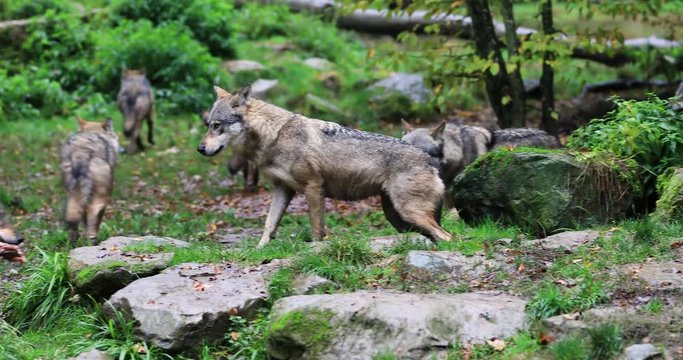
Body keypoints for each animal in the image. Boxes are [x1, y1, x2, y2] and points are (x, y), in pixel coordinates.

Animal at [198, 85, 454, 248]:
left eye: (217, 125)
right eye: (207, 124)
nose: (200, 148)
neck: (275, 135)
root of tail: (429, 159)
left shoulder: (313, 187)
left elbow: (316, 229)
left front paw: (315, 250)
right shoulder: (282, 190)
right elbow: (269, 225)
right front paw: (259, 250)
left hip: (409, 213)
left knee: (448, 236)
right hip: (399, 219)